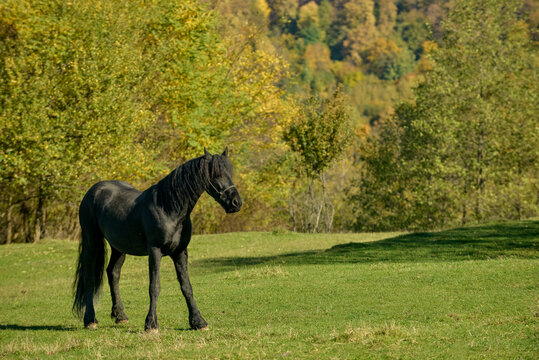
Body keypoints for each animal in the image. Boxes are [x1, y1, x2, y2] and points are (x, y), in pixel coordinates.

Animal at [73, 148, 242, 330]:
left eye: (230, 173)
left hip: (119, 247)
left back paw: (120, 316)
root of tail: (94, 190)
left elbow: (186, 286)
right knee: (89, 276)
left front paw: (198, 321)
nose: (236, 203)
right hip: (92, 241)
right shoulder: (155, 251)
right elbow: (154, 286)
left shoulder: (180, 253)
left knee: (113, 273)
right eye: (216, 174)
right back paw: (90, 320)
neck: (168, 208)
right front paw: (151, 324)